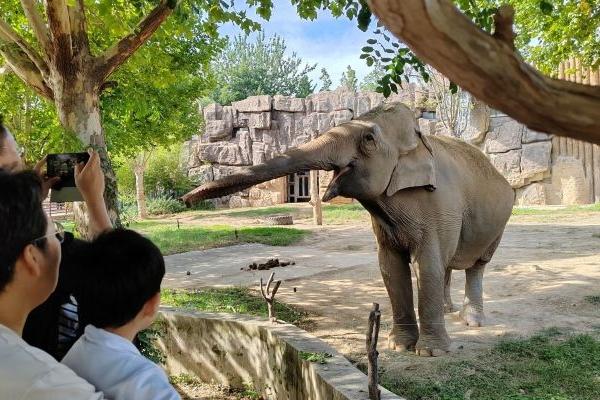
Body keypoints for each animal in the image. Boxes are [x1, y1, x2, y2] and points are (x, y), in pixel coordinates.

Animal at [183, 102, 510, 356]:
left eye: (368, 138)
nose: (184, 199)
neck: (420, 140)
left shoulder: (438, 205)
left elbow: (427, 265)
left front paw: (430, 353)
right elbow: (390, 268)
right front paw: (399, 347)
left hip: (499, 224)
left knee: (476, 266)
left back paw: (472, 321)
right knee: (449, 264)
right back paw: (448, 311)